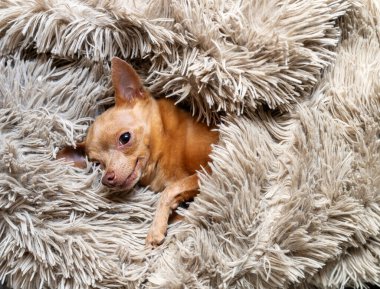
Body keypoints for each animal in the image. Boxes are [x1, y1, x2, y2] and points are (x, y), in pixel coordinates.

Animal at [59, 58, 220, 245]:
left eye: (125, 138)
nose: (106, 178)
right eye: (98, 164)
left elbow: (171, 189)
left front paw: (156, 229)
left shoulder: (212, 166)